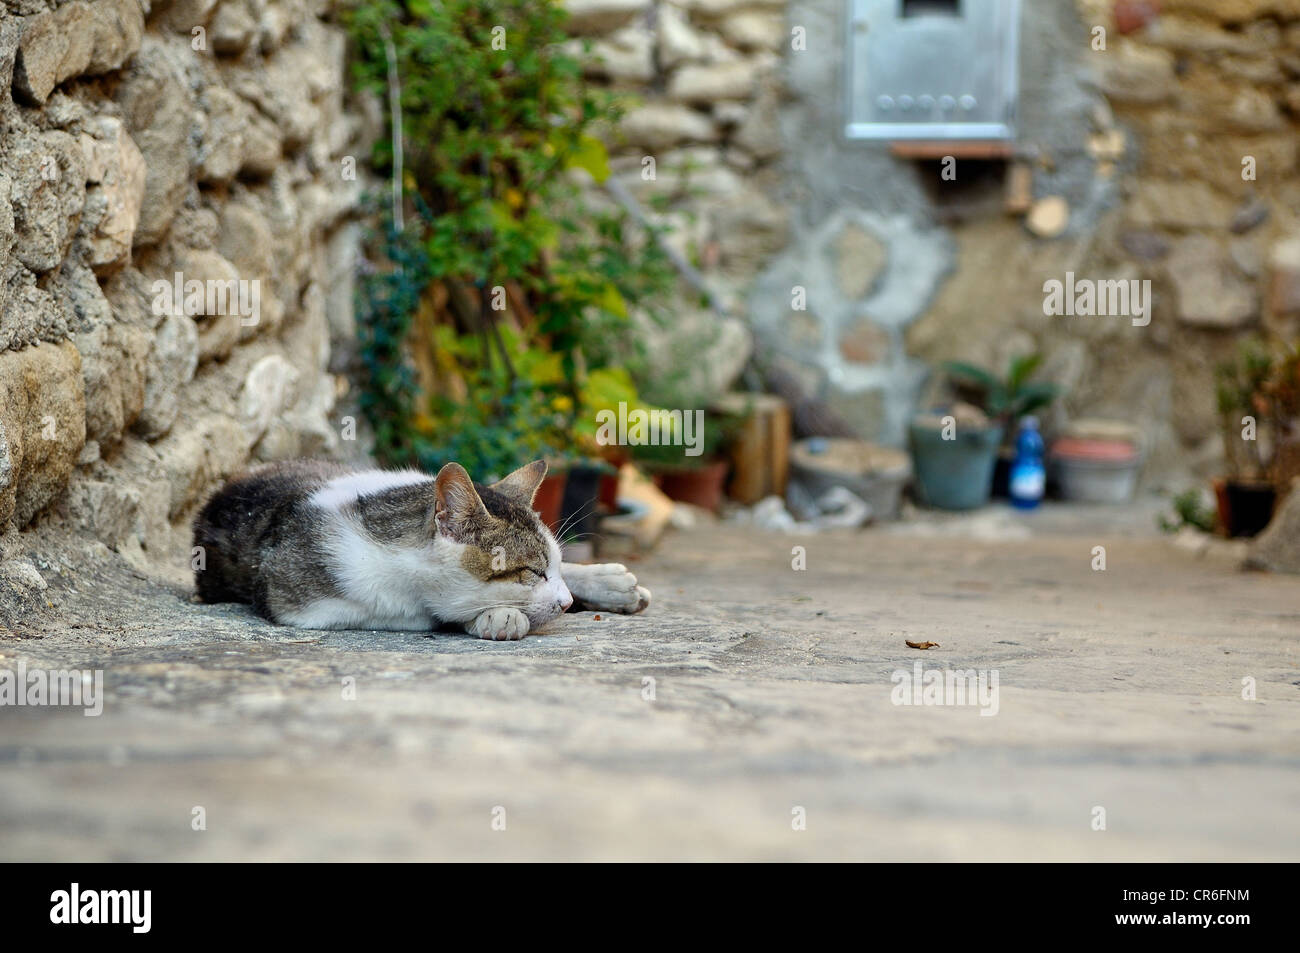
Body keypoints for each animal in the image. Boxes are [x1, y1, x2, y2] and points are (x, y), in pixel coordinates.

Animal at [191, 455, 650, 634]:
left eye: (548, 566)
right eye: (531, 572)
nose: (567, 603)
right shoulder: (307, 605)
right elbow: (434, 614)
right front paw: (495, 615)